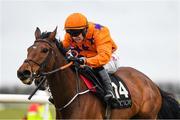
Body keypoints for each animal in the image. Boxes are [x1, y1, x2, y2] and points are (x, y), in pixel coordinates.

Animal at [17, 27, 180, 119]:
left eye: (44, 50)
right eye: (28, 49)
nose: (23, 72)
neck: (71, 98)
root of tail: (152, 83)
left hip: (149, 116)